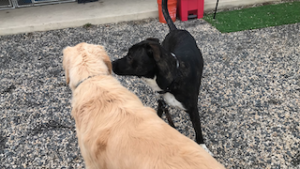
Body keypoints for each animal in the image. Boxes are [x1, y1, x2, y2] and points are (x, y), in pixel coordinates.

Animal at [112, 0, 211, 153]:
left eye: (130, 56)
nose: (112, 63)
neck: (173, 80)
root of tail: (176, 29)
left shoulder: (193, 110)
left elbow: (198, 130)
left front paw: (202, 147)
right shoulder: (161, 103)